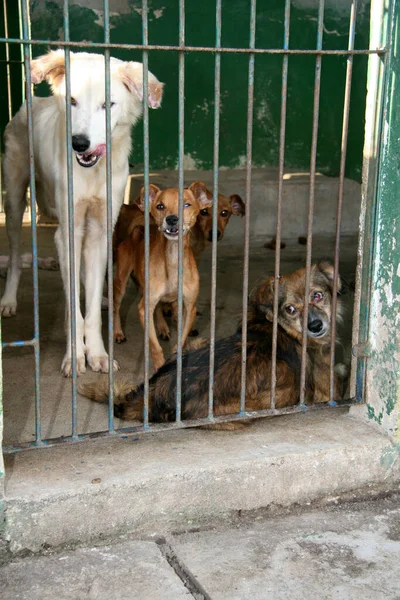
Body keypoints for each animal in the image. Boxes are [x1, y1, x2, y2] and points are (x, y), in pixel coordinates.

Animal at [0, 52, 162, 380]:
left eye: (107, 104)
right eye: (71, 101)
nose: (79, 143)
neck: (92, 171)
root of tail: (31, 102)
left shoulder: (100, 229)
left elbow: (90, 307)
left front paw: (98, 354)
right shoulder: (68, 232)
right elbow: (74, 306)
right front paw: (75, 356)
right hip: (14, 201)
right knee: (16, 253)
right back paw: (9, 299)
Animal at [79, 262, 346, 426]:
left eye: (318, 295)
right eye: (290, 309)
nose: (315, 326)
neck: (279, 326)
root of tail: (153, 394)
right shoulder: (327, 391)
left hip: (194, 343)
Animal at [113, 183, 212, 370]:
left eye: (186, 204)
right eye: (160, 206)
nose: (172, 219)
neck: (172, 259)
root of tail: (137, 231)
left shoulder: (189, 307)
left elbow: (181, 339)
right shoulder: (144, 308)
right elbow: (155, 347)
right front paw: (159, 366)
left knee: (160, 308)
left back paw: (163, 328)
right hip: (121, 284)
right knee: (116, 308)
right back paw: (118, 333)